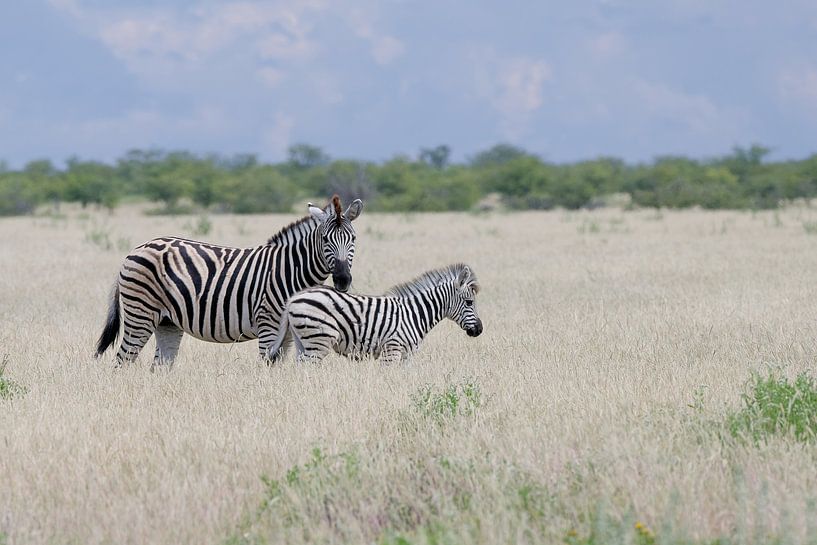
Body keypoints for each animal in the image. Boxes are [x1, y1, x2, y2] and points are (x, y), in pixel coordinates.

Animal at [95, 195, 363, 368]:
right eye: (325, 239)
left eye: (353, 239)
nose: (342, 280)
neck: (292, 271)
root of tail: (135, 249)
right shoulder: (268, 325)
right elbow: (266, 367)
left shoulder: (288, 333)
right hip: (140, 314)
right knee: (122, 361)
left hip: (167, 322)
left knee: (159, 366)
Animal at [269, 263, 482, 364]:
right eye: (469, 302)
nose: (479, 330)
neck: (415, 313)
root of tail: (293, 298)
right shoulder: (392, 349)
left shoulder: (406, 355)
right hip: (318, 340)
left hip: (302, 340)